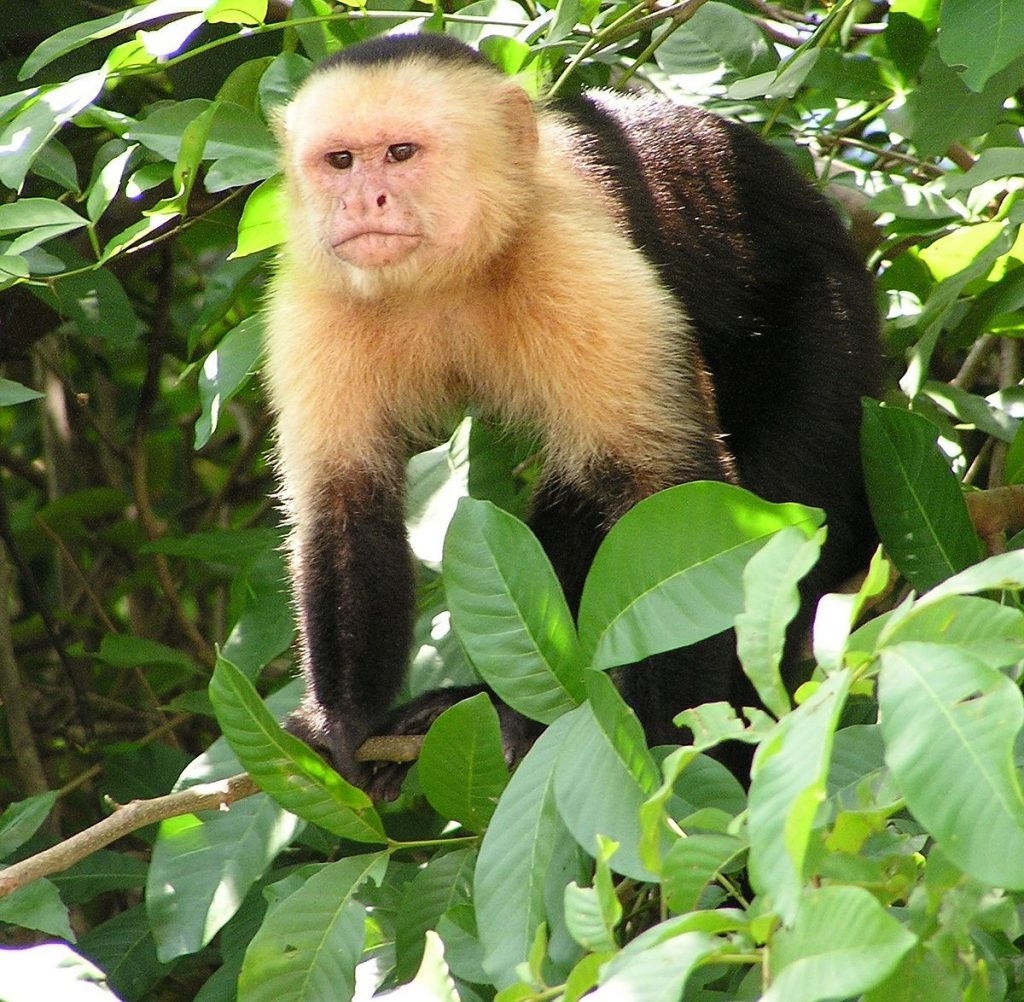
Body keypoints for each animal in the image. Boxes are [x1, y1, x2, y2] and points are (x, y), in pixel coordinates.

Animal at [264, 33, 880, 798]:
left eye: (401, 154)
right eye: (340, 161)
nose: (360, 200)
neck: (448, 277)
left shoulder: (576, 265)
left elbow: (671, 499)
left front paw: (664, 750)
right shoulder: (319, 295)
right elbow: (345, 500)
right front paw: (342, 721)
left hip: (829, 326)